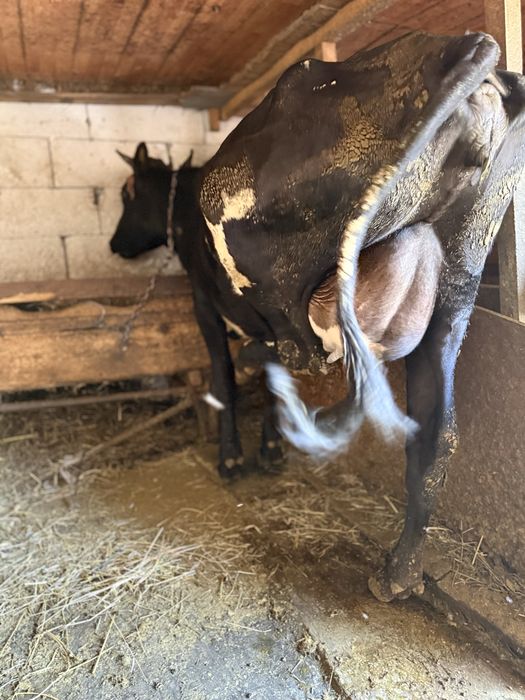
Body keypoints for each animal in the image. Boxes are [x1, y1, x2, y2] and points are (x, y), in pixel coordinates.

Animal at [110, 31, 525, 603]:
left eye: (127, 194)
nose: (113, 245)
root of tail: (469, 52)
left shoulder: (202, 302)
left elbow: (227, 378)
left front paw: (234, 458)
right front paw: (269, 450)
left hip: (276, 273)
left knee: (290, 352)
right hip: (455, 292)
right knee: (437, 433)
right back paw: (399, 573)